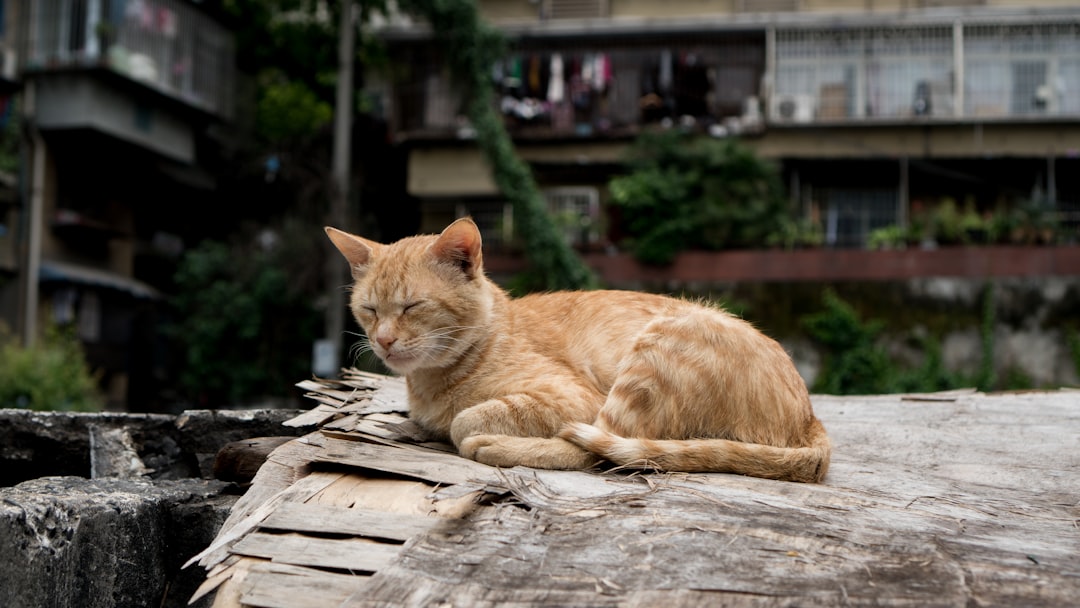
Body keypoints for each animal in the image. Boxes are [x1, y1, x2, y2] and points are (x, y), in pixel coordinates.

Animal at [324, 218, 829, 481]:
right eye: (369, 309)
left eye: (412, 306)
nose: (383, 340)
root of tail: (809, 417)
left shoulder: (571, 398)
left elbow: (466, 417)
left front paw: (464, 429)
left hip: (647, 364)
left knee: (608, 449)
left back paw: (495, 445)